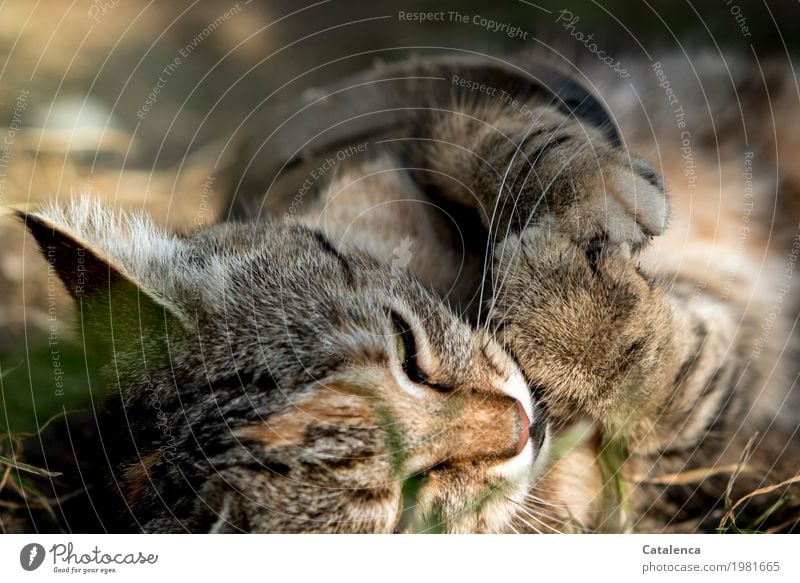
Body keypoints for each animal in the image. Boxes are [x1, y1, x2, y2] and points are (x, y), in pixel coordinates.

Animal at [17, 51, 800, 532]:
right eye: (409, 502)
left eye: (406, 348)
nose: (519, 426)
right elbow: (684, 379)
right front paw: (576, 317)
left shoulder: (379, 98)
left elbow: (479, 128)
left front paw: (588, 197)